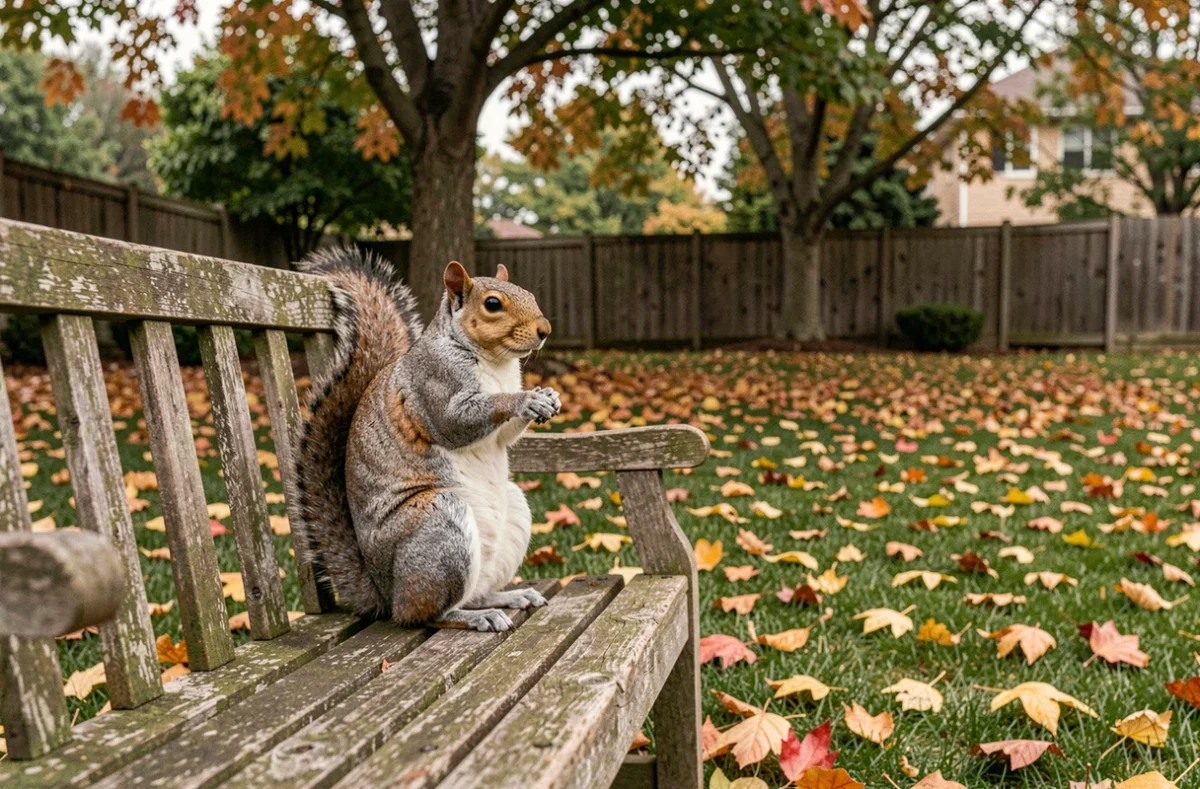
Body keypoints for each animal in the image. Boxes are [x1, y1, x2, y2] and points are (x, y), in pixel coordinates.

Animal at [295, 249, 561, 632]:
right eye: (493, 304)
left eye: (530, 294)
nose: (545, 330)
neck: (496, 364)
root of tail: (385, 594)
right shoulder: (433, 386)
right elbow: (454, 422)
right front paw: (524, 399)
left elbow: (505, 438)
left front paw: (548, 397)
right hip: (439, 527)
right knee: (426, 614)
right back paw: (474, 617)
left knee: (475, 593)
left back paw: (509, 596)